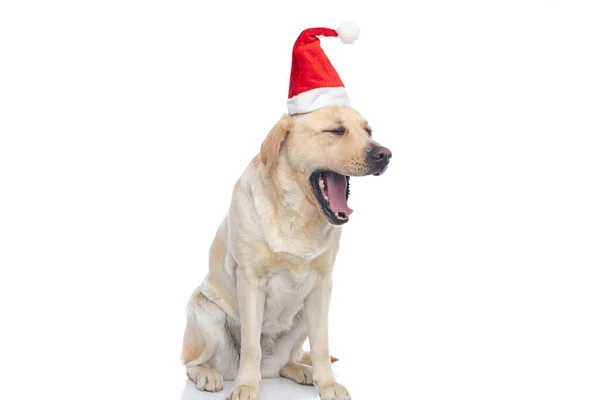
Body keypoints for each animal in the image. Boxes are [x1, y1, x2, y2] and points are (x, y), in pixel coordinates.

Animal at [180, 104, 392, 398]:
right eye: (335, 130)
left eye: (368, 131)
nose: (385, 154)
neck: (297, 216)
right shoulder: (250, 283)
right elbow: (251, 347)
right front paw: (246, 386)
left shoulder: (322, 287)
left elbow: (321, 346)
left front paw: (328, 385)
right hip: (204, 312)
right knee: (192, 362)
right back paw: (208, 375)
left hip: (300, 319)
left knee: (286, 362)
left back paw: (302, 371)